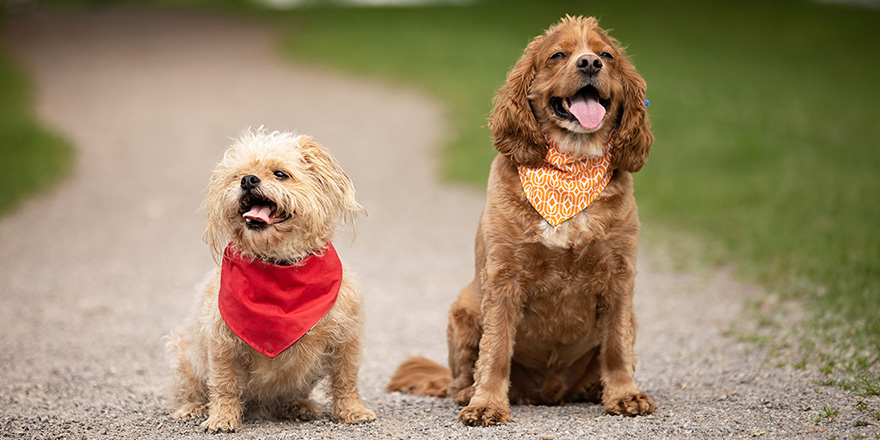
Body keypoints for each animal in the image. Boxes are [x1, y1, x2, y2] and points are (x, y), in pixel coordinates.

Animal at [168, 128, 374, 434]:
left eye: (280, 174)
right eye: (237, 175)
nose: (248, 179)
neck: (279, 264)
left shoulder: (346, 338)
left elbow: (346, 379)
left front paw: (353, 411)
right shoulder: (222, 343)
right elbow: (224, 384)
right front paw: (222, 418)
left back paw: (299, 406)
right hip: (184, 354)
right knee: (192, 390)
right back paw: (193, 408)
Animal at [388, 16, 656, 426]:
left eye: (607, 55)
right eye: (557, 55)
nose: (590, 63)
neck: (571, 163)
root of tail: (549, 392)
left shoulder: (619, 277)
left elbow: (616, 346)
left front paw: (625, 395)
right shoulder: (504, 277)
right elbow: (497, 349)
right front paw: (487, 403)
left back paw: (593, 389)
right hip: (463, 309)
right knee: (458, 378)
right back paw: (469, 391)